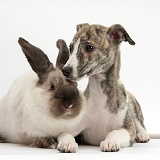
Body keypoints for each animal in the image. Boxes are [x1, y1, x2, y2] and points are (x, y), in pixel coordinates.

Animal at [62, 23, 159, 151]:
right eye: (70, 48)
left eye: (89, 47)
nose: (65, 71)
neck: (101, 94)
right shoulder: (69, 127)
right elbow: (65, 134)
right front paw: (67, 143)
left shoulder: (128, 130)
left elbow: (114, 132)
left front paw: (110, 142)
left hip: (132, 102)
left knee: (140, 124)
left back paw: (142, 135)